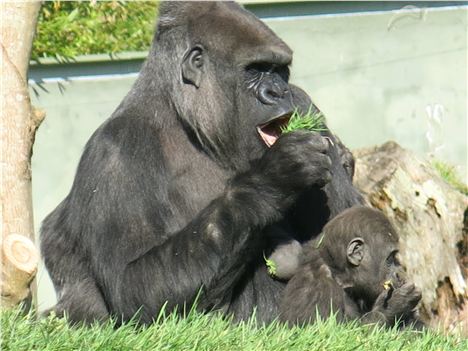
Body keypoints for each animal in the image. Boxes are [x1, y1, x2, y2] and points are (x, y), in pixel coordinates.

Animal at [41, 0, 362, 324]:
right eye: (255, 70)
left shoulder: (307, 105)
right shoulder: (113, 153)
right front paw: (273, 179)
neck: (188, 123)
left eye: (280, 71)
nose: (279, 92)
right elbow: (131, 288)